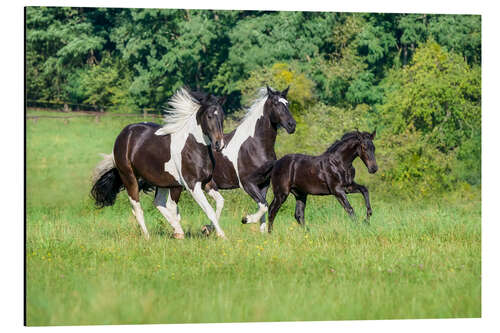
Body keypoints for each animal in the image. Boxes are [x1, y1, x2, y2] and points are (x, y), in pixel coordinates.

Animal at [91, 88, 228, 239]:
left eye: (222, 116)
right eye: (209, 116)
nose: (219, 144)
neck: (193, 146)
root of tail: (124, 134)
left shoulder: (206, 182)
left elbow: (220, 202)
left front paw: (206, 229)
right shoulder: (192, 185)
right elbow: (209, 210)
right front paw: (222, 236)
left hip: (163, 181)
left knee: (158, 203)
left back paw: (176, 230)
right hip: (129, 178)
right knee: (138, 209)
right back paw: (149, 237)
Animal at [175, 87, 296, 235]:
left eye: (287, 103)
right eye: (275, 103)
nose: (292, 125)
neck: (255, 145)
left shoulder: (264, 184)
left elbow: (264, 206)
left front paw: (262, 233)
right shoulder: (247, 183)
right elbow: (264, 206)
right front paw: (246, 219)